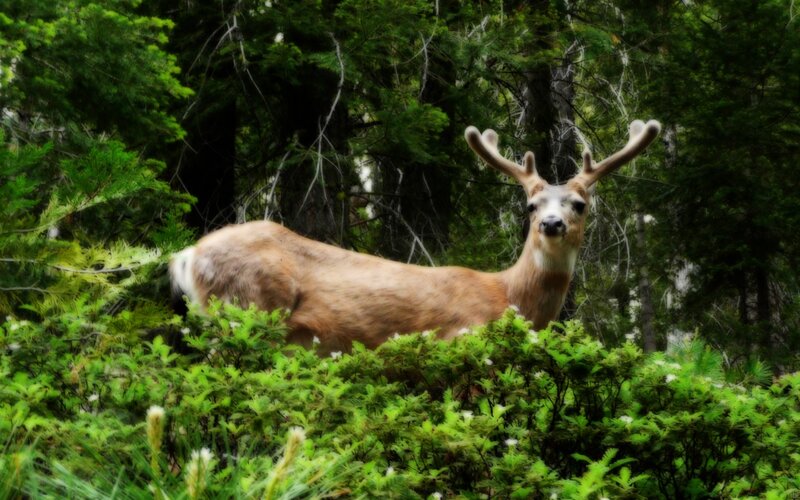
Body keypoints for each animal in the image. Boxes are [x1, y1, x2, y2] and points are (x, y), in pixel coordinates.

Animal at [170, 119, 660, 353]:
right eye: (531, 205)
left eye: (579, 204)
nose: (551, 224)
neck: (508, 297)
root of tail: (188, 254)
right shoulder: (460, 340)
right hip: (245, 307)